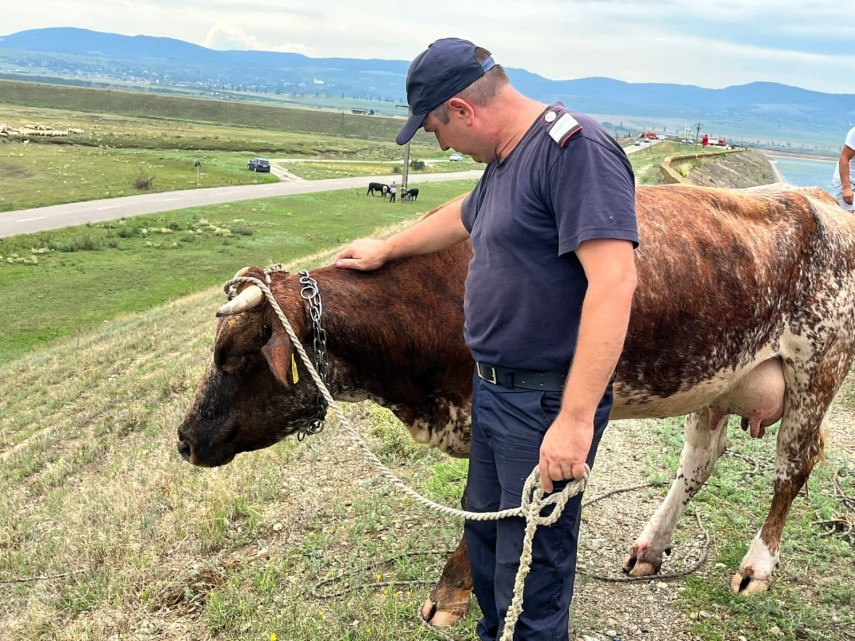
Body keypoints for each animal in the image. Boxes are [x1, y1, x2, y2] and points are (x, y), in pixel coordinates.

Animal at [176, 182, 855, 628]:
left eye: (234, 356)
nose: (184, 439)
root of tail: (817, 197)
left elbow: (492, 506)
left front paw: (450, 596)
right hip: (718, 377)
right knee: (699, 461)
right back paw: (650, 548)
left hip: (817, 369)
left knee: (793, 467)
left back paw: (756, 567)